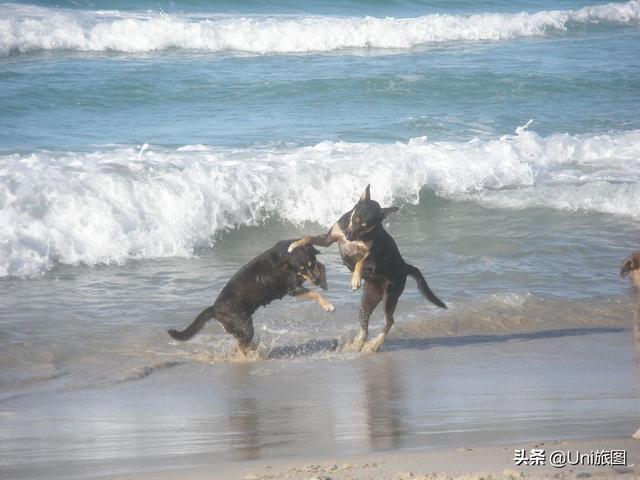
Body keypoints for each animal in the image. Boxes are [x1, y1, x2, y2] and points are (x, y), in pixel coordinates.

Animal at [168, 240, 336, 356]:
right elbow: (315, 293)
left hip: (243, 327)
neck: (286, 256)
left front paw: (324, 281)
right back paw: (253, 355)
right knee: (241, 345)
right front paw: (328, 305)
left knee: (241, 343)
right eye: (302, 269)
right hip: (245, 327)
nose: (316, 281)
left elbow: (322, 266)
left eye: (310, 264)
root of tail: (215, 308)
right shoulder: (293, 289)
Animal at [288, 185, 444, 352]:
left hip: (390, 296)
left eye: (365, 226)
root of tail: (405, 266)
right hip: (368, 298)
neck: (358, 236)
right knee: (365, 322)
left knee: (389, 321)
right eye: (354, 218)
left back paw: (374, 344)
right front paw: (295, 244)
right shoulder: (330, 238)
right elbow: (309, 237)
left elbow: (360, 262)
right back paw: (358, 342)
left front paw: (355, 280)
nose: (349, 237)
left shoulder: (372, 256)